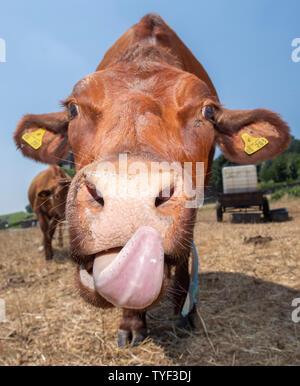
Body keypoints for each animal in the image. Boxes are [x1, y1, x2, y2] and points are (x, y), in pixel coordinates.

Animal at [12, 15, 290, 346]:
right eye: (73, 108)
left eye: (208, 110)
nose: (128, 198)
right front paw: (132, 321)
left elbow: (184, 256)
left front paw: (185, 310)